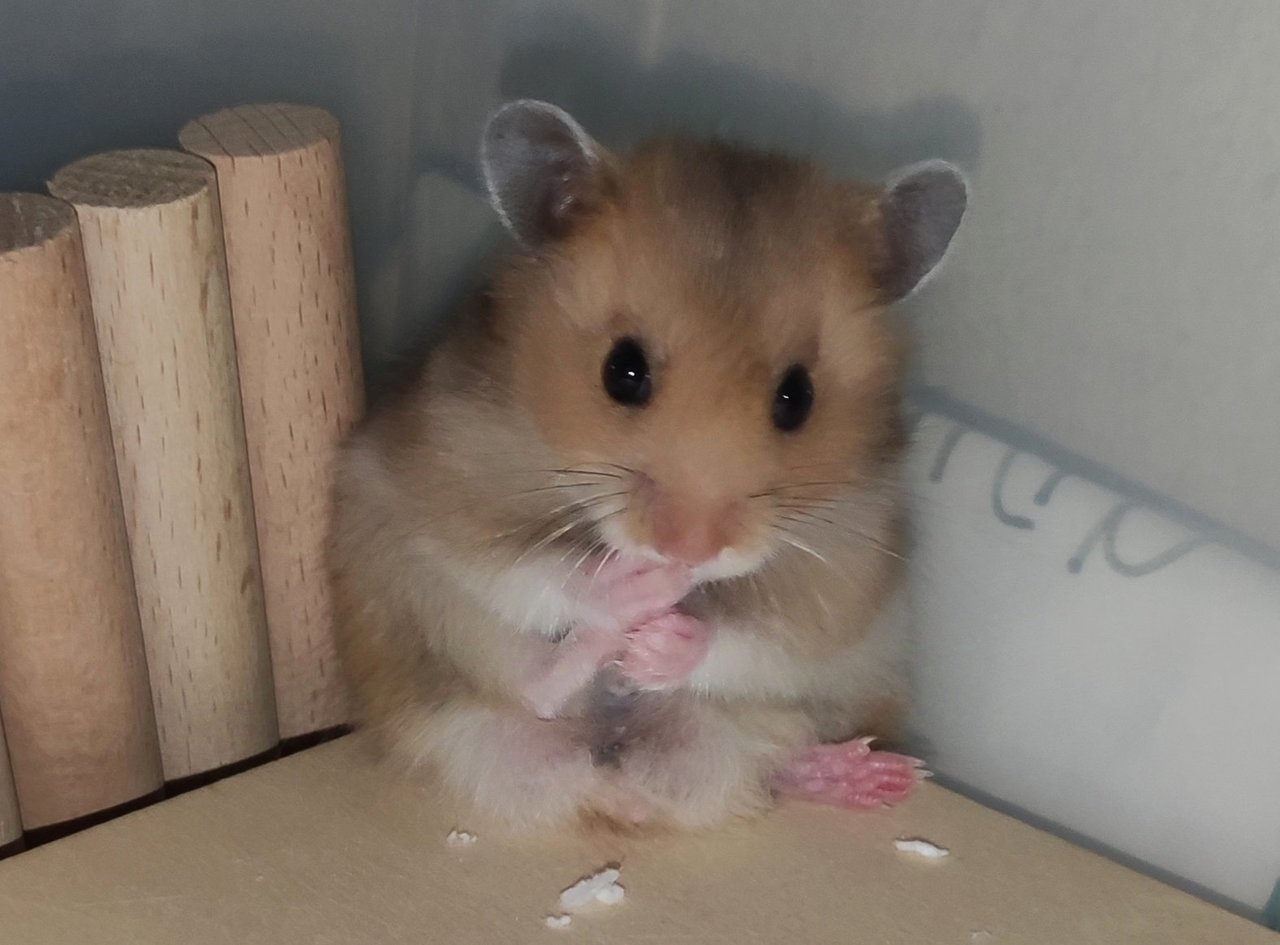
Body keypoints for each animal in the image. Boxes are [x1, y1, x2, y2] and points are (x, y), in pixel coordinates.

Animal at [325, 99, 962, 829]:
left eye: (797, 397)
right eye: (622, 370)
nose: (686, 551)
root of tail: (611, 781)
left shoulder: (845, 576)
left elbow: (751, 638)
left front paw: (658, 641)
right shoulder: (447, 490)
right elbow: (538, 570)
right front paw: (643, 594)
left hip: (794, 707)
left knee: (767, 762)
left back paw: (880, 775)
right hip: (421, 642)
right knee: (533, 689)